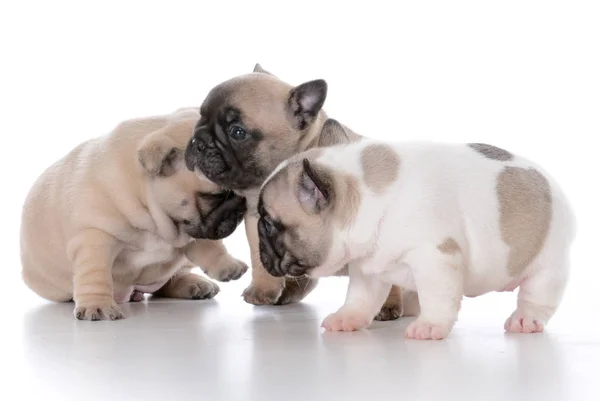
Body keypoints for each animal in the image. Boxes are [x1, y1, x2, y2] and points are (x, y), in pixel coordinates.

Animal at [20, 108, 246, 320]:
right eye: (217, 195)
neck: (155, 219)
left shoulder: (194, 227)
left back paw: (193, 284)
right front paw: (97, 305)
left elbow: (210, 246)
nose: (242, 207)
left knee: (173, 277)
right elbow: (95, 273)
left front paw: (227, 266)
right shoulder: (95, 238)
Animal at [185, 63, 414, 318]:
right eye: (201, 116)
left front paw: (386, 305)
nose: (198, 141)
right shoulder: (257, 222)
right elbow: (259, 258)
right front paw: (263, 290)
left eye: (237, 132)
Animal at [258, 120, 576, 340]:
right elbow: (360, 298)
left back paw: (525, 320)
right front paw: (347, 318)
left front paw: (430, 326)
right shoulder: (368, 268)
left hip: (547, 264)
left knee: (537, 296)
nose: (260, 245)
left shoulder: (437, 259)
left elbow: (437, 298)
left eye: (269, 224)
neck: (365, 197)